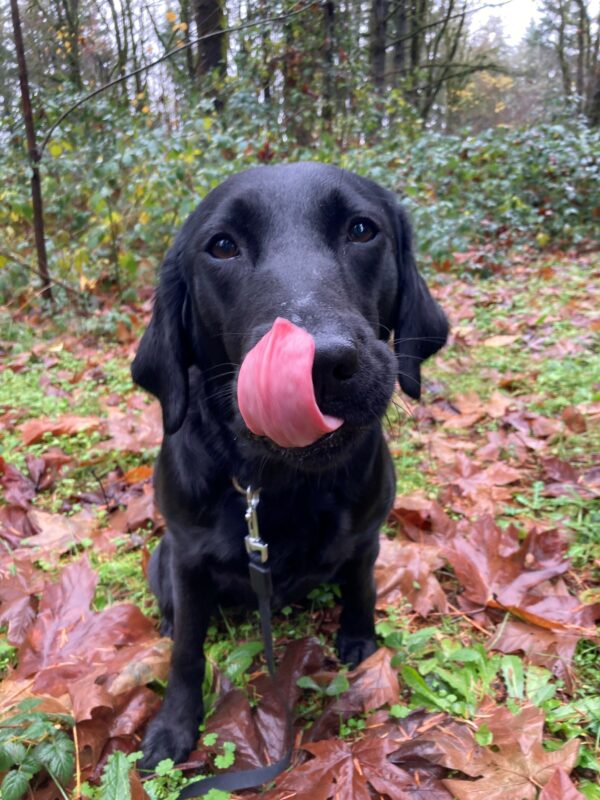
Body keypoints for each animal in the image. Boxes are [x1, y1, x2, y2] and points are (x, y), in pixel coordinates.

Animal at [132, 162, 450, 768]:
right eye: (222, 246)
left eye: (361, 230)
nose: (323, 363)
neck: (278, 483)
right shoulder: (186, 556)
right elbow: (186, 653)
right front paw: (174, 726)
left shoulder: (367, 538)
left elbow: (362, 591)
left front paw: (359, 641)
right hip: (162, 557)